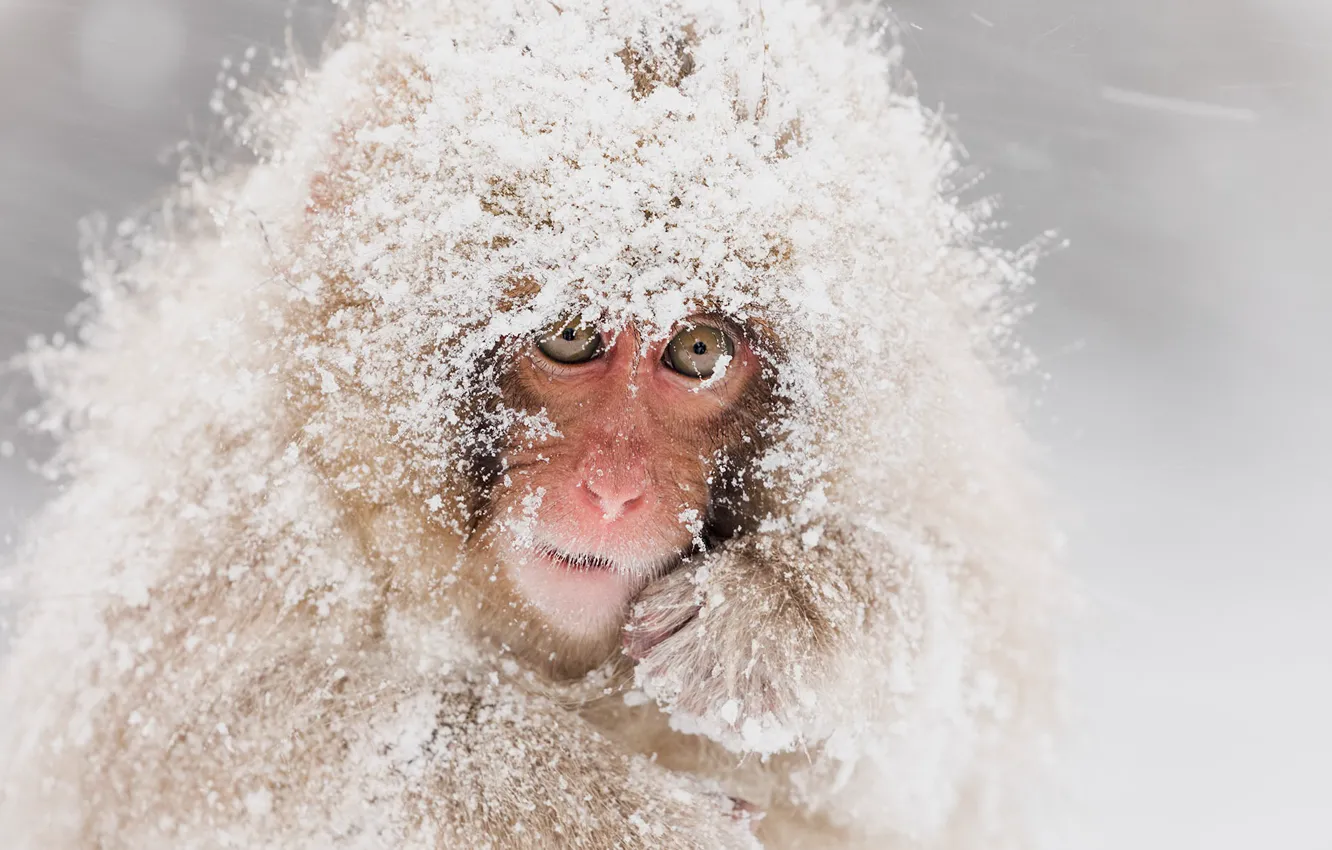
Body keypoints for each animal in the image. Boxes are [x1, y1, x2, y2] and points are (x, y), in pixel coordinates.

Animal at [0, 1, 1063, 848]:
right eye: (571, 334)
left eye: (698, 349)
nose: (614, 491)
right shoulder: (232, 510)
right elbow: (214, 758)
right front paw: (624, 820)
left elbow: (946, 750)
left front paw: (786, 614)